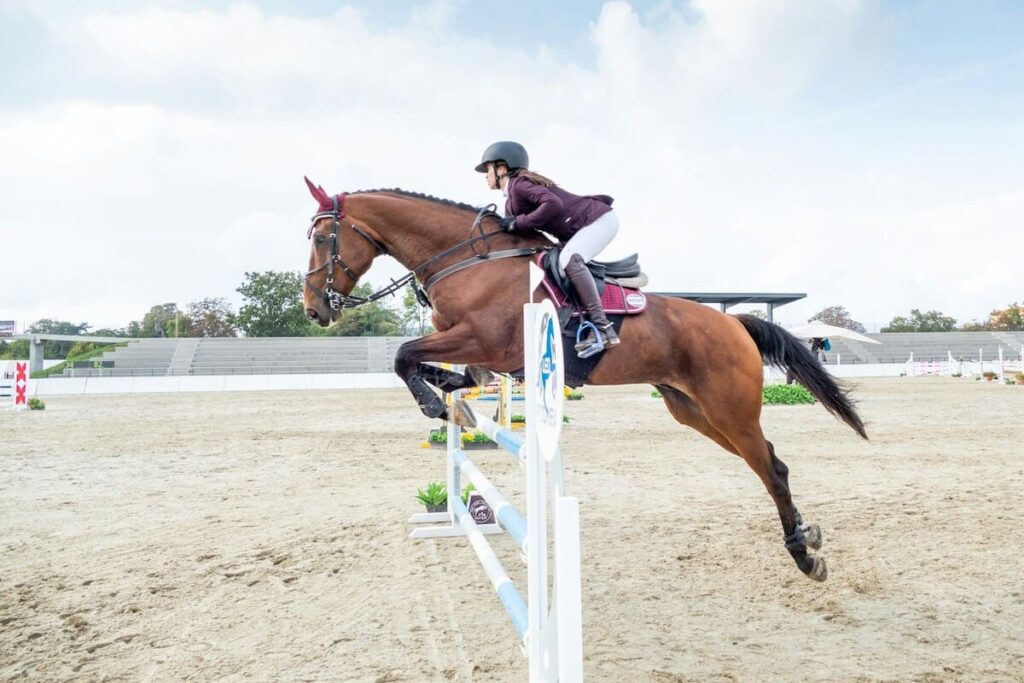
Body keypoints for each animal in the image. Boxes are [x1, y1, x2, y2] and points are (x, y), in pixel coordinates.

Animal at [301, 179, 867, 582]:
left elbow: (404, 356)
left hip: (729, 410)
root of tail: (733, 322)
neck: (467, 259)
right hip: (695, 412)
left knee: (772, 470)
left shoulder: (487, 342)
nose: (313, 310)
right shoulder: (477, 350)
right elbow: (441, 368)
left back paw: (803, 555)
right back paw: (808, 535)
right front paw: (448, 395)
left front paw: (436, 405)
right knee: (771, 461)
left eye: (324, 238)